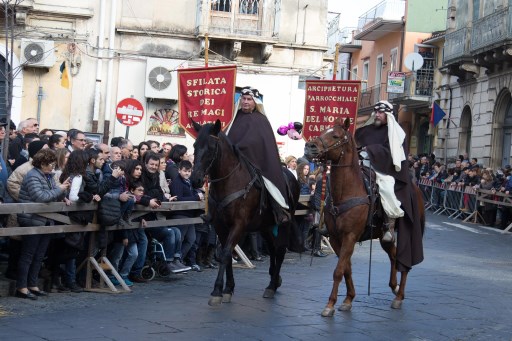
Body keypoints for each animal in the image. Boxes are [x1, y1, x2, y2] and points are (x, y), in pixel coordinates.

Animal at [189, 120, 300, 306]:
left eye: (211, 147)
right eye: (195, 145)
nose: (194, 180)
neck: (229, 182)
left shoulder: (238, 224)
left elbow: (226, 252)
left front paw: (217, 291)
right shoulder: (220, 226)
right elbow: (224, 255)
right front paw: (228, 289)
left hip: (283, 224)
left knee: (280, 250)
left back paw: (271, 286)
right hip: (265, 226)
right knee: (272, 248)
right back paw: (274, 280)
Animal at [304, 118, 424, 314]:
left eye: (335, 136)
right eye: (322, 131)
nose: (309, 146)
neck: (346, 192)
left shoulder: (350, 236)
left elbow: (338, 270)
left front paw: (330, 305)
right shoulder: (336, 238)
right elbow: (346, 268)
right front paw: (348, 299)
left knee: (403, 260)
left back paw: (399, 296)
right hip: (382, 237)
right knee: (393, 255)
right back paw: (394, 286)